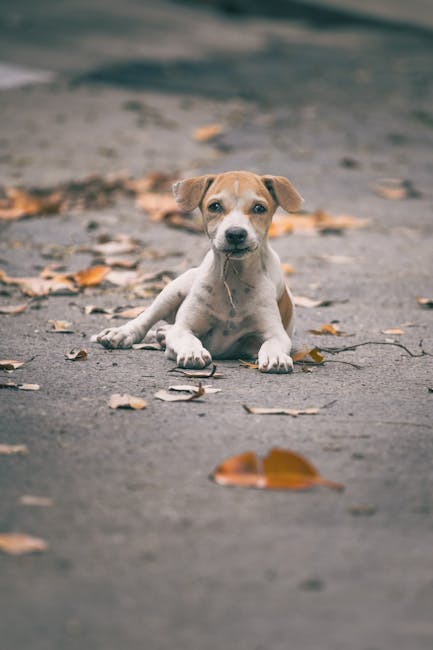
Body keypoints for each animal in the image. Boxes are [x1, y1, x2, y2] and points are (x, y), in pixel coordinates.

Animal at [96, 170, 302, 372]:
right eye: (215, 206)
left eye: (259, 208)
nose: (235, 234)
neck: (233, 277)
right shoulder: (183, 328)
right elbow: (187, 337)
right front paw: (192, 352)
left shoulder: (276, 333)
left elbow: (272, 343)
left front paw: (276, 356)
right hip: (175, 289)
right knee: (146, 317)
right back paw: (122, 333)